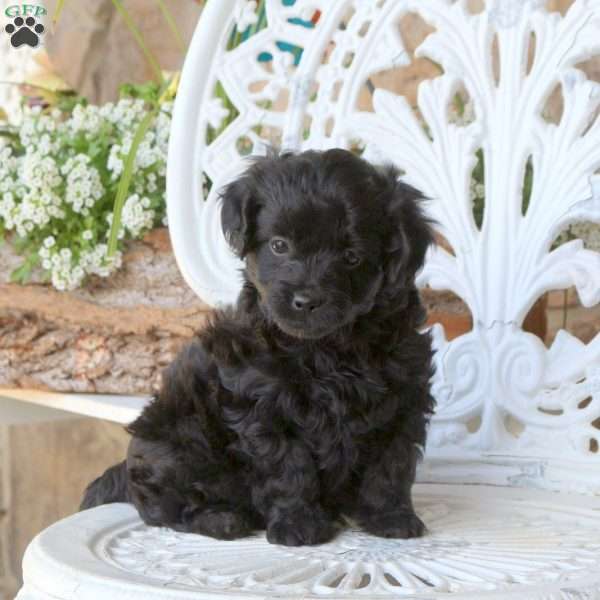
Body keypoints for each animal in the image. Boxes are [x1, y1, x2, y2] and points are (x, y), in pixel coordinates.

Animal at [79, 148, 436, 548]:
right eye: (279, 245)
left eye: (351, 257)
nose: (305, 300)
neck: (327, 349)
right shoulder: (261, 405)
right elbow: (288, 465)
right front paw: (298, 524)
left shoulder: (405, 399)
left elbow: (391, 463)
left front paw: (391, 516)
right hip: (177, 442)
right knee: (164, 508)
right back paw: (220, 519)